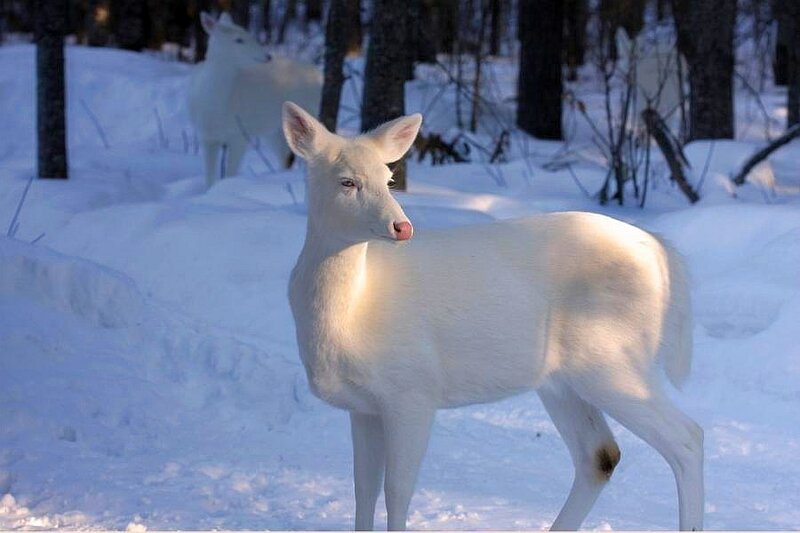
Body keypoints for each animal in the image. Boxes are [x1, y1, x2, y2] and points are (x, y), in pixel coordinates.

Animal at [188, 12, 322, 189]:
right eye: (238, 40)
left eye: (249, 34)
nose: (267, 56)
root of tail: (319, 75)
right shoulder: (206, 136)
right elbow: (209, 177)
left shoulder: (239, 134)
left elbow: (230, 173)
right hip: (273, 130)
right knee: (284, 156)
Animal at [282, 101, 704, 531]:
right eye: (347, 181)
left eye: (388, 177)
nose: (402, 226)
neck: (354, 312)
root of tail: (662, 253)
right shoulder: (363, 406)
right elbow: (362, 489)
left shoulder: (413, 391)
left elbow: (397, 492)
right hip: (561, 380)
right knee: (600, 454)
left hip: (612, 356)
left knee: (687, 438)